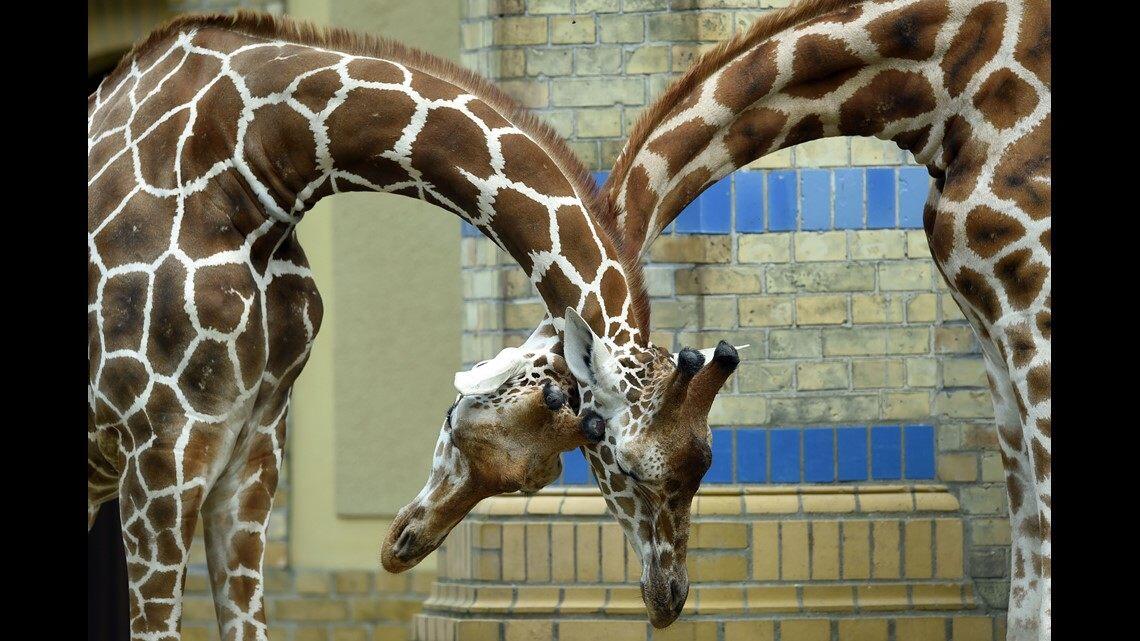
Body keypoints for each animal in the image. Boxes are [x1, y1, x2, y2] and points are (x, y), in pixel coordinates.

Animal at [87, 11, 737, 638]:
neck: (252, 168)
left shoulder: (254, 443)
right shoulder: (161, 444)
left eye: (545, 472)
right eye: (622, 463)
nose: (668, 598)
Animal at [595, 0, 1050, 637]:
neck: (949, 84)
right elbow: (1026, 542)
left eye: (627, 463)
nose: (666, 598)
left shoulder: (1036, 295)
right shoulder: (991, 319)